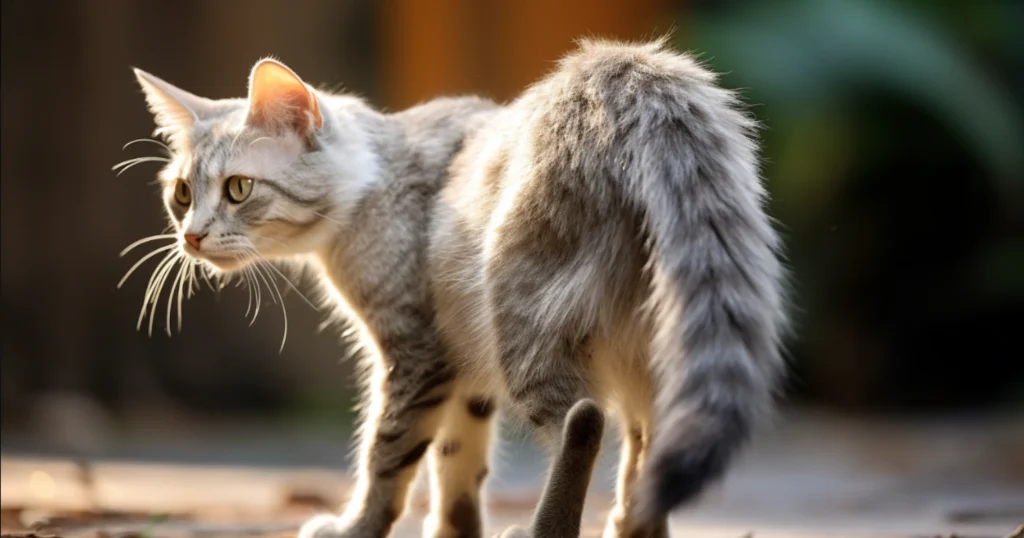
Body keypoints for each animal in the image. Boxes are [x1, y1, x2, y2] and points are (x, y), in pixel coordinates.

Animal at [123, 38, 786, 538]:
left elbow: (387, 457)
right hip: (650, 347)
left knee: (586, 421)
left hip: (522, 320)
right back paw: (631, 527)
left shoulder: (415, 355)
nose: (191, 236)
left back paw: (544, 530)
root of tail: (622, 73)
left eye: (238, 189)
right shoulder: (463, 370)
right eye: (181, 193)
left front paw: (356, 526)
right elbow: (457, 463)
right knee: (647, 449)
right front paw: (453, 532)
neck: (379, 177)